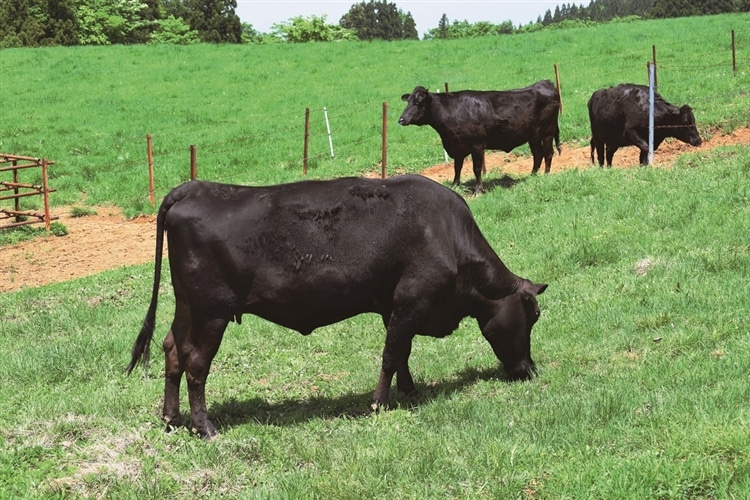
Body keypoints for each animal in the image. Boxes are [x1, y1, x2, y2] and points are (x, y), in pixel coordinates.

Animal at [128, 176, 548, 438]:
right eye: (533, 316)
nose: (530, 369)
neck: (446, 234)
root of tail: (193, 187)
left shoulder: (395, 306)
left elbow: (403, 352)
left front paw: (410, 392)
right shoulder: (412, 299)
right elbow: (391, 354)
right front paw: (380, 403)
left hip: (188, 307)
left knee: (172, 350)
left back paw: (171, 418)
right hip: (212, 313)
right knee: (196, 363)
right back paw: (205, 427)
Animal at [400, 81, 564, 192]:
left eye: (418, 102)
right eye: (408, 101)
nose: (401, 119)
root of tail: (545, 83)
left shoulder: (477, 145)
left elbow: (477, 168)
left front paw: (478, 189)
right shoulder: (457, 146)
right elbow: (457, 167)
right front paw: (455, 184)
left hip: (547, 133)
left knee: (548, 153)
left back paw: (546, 174)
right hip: (533, 137)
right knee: (538, 154)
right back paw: (532, 175)